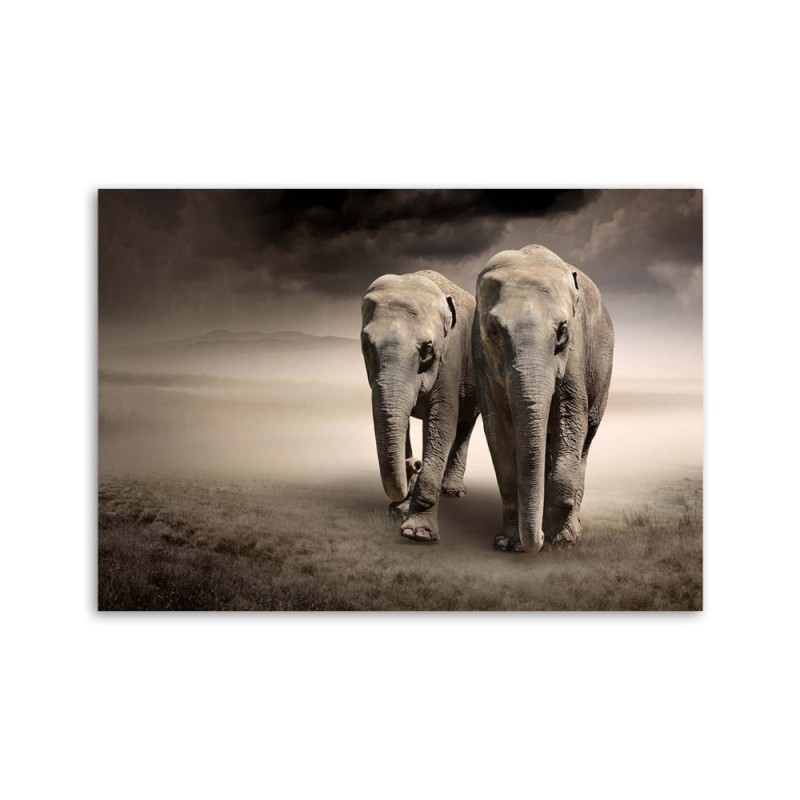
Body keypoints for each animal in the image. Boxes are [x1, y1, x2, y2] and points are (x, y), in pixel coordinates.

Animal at [361, 270, 479, 542]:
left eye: (427, 348)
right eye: (366, 345)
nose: (414, 463)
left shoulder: (451, 359)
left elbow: (442, 423)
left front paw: (418, 533)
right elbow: (397, 421)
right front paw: (399, 512)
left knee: (464, 425)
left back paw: (452, 491)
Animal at [472, 244, 614, 553]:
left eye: (562, 331)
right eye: (494, 331)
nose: (535, 541)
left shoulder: (574, 353)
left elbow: (571, 420)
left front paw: (560, 540)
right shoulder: (481, 358)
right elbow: (498, 431)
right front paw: (506, 543)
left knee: (586, 439)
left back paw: (571, 529)